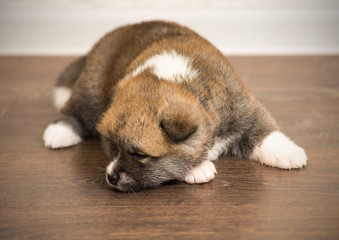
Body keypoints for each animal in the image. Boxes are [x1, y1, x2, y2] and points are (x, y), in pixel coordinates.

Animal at [42, 21, 308, 192]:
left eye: (139, 154)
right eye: (111, 146)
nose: (111, 177)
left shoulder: (245, 110)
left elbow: (266, 133)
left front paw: (288, 153)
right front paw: (198, 169)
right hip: (92, 89)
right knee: (75, 110)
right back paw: (59, 131)